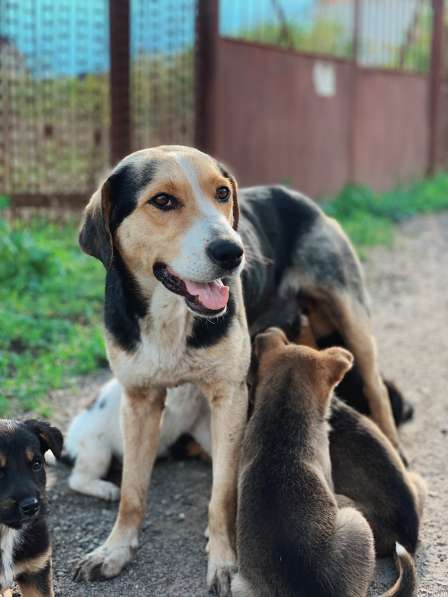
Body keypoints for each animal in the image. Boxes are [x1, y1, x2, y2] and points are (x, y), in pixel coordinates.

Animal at [73, 143, 400, 592]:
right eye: (163, 201)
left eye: (223, 193)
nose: (233, 252)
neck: (172, 314)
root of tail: (294, 194)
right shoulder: (139, 400)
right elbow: (131, 491)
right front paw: (115, 549)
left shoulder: (229, 395)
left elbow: (223, 491)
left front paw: (224, 560)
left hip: (351, 314)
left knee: (376, 388)